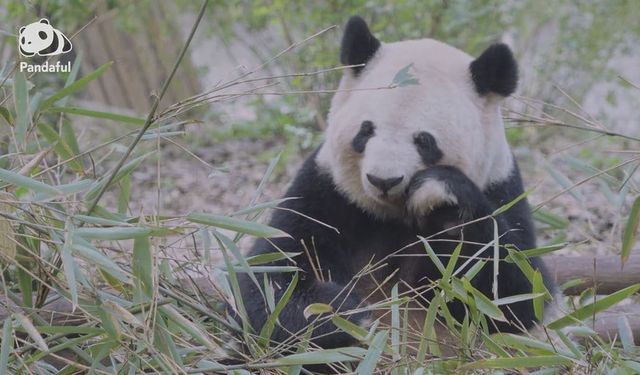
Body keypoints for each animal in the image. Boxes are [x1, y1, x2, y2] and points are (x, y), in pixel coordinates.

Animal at [236, 14, 556, 350]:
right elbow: (273, 273)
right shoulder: (325, 191)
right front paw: (344, 316)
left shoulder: (502, 187)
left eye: (424, 141)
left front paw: (443, 196)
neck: (391, 215)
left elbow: (512, 294)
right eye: (366, 130)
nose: (383, 179)